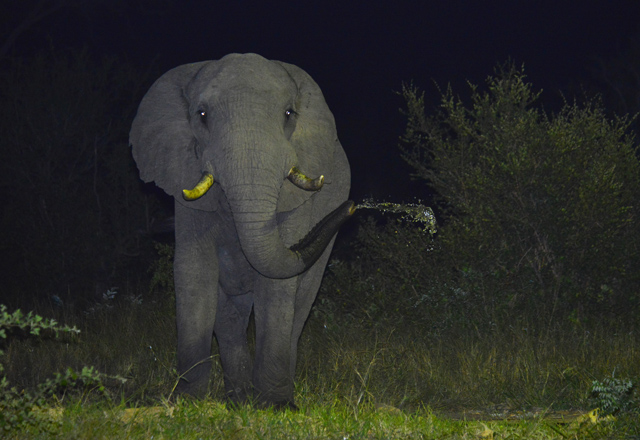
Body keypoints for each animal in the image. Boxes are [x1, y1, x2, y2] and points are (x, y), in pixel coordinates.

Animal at [129, 53, 353, 408]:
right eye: (202, 115)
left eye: (288, 114)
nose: (353, 207)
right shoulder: (186, 186)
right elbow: (193, 272)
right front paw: (186, 401)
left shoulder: (295, 200)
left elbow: (277, 284)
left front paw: (276, 406)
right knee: (229, 314)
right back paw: (239, 398)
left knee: (301, 301)